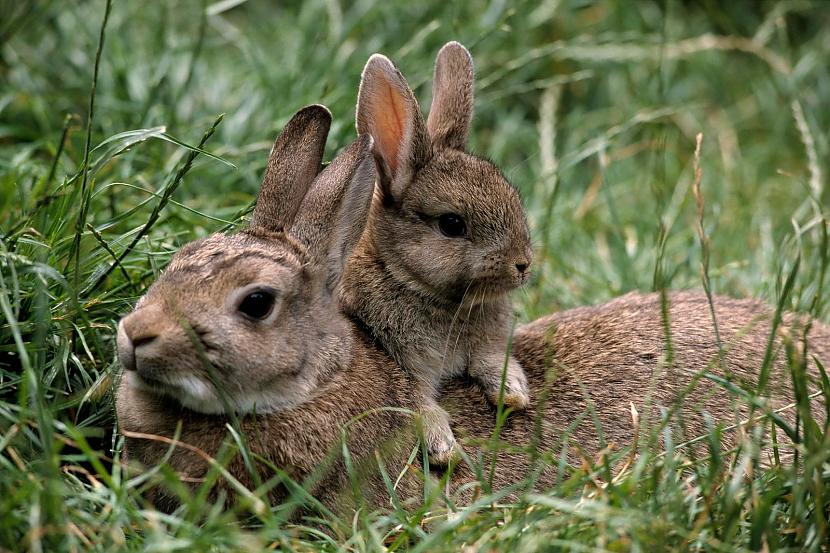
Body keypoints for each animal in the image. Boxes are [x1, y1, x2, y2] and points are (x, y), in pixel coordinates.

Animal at [342, 41, 536, 462]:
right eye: (451, 224)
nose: (523, 265)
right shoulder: (401, 363)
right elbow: (415, 401)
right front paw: (443, 447)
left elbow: (490, 358)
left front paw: (513, 392)